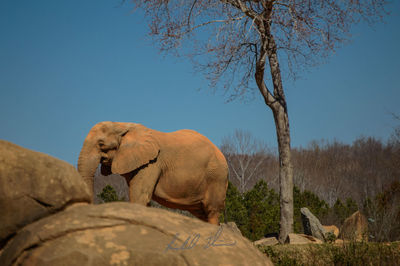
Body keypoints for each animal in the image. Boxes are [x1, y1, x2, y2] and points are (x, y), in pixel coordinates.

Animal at [78, 122, 228, 224]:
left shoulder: (152, 163)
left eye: (101, 144)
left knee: (211, 210)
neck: (122, 124)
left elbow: (139, 196)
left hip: (216, 177)